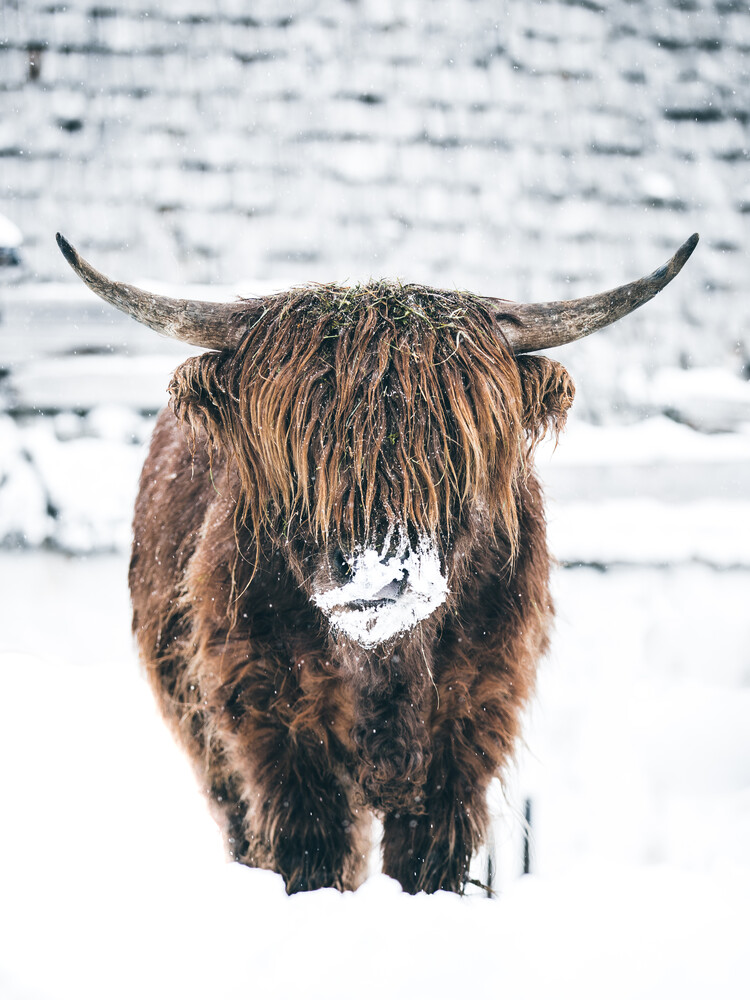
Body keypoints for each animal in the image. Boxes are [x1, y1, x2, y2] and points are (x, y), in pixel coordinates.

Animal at [57, 232, 700, 892]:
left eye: (451, 445)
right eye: (303, 446)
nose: (380, 574)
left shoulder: (474, 714)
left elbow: (428, 855)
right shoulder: (267, 715)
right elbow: (311, 847)